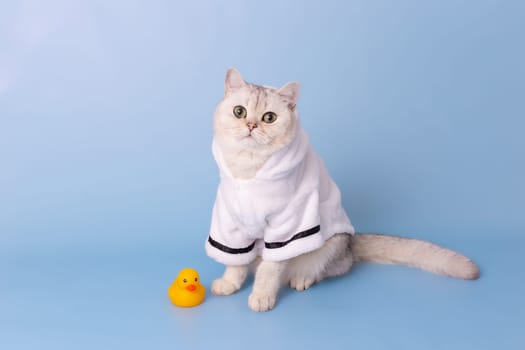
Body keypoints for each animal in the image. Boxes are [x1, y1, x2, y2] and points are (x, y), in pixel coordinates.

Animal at [206, 68, 478, 312]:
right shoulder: (231, 226)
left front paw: (262, 297)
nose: (251, 125)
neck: (248, 170)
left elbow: (269, 271)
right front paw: (229, 283)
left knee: (328, 269)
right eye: (239, 112)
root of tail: (351, 243)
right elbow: (236, 263)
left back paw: (303, 278)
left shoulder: (285, 228)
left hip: (327, 246)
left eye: (269, 118)